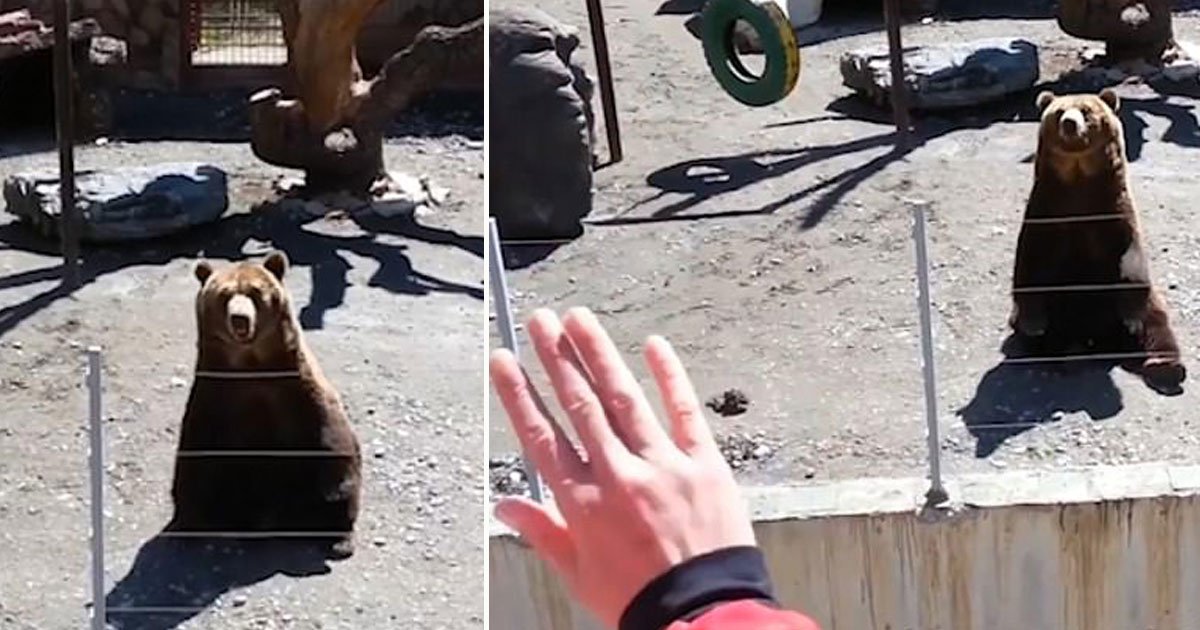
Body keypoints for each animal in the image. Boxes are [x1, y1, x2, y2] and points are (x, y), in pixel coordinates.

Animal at [166, 249, 360, 554]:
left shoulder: (299, 390)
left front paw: (338, 523)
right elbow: (197, 455)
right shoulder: (215, 395)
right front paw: (189, 519)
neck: (252, 364)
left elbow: (334, 446)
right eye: (224, 295)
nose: (240, 318)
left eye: (255, 292)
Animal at [1012, 87, 1190, 393]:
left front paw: (1132, 322)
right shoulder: (1046, 213)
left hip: (1137, 305)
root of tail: (1101, 339)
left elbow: (1130, 262)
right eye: (1060, 112)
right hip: (1063, 306)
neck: (1078, 179)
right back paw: (1064, 355)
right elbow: (1032, 263)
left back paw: (1166, 369)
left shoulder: (1115, 213)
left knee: (1157, 325)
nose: (1070, 124)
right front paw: (1034, 323)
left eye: (1086, 111)